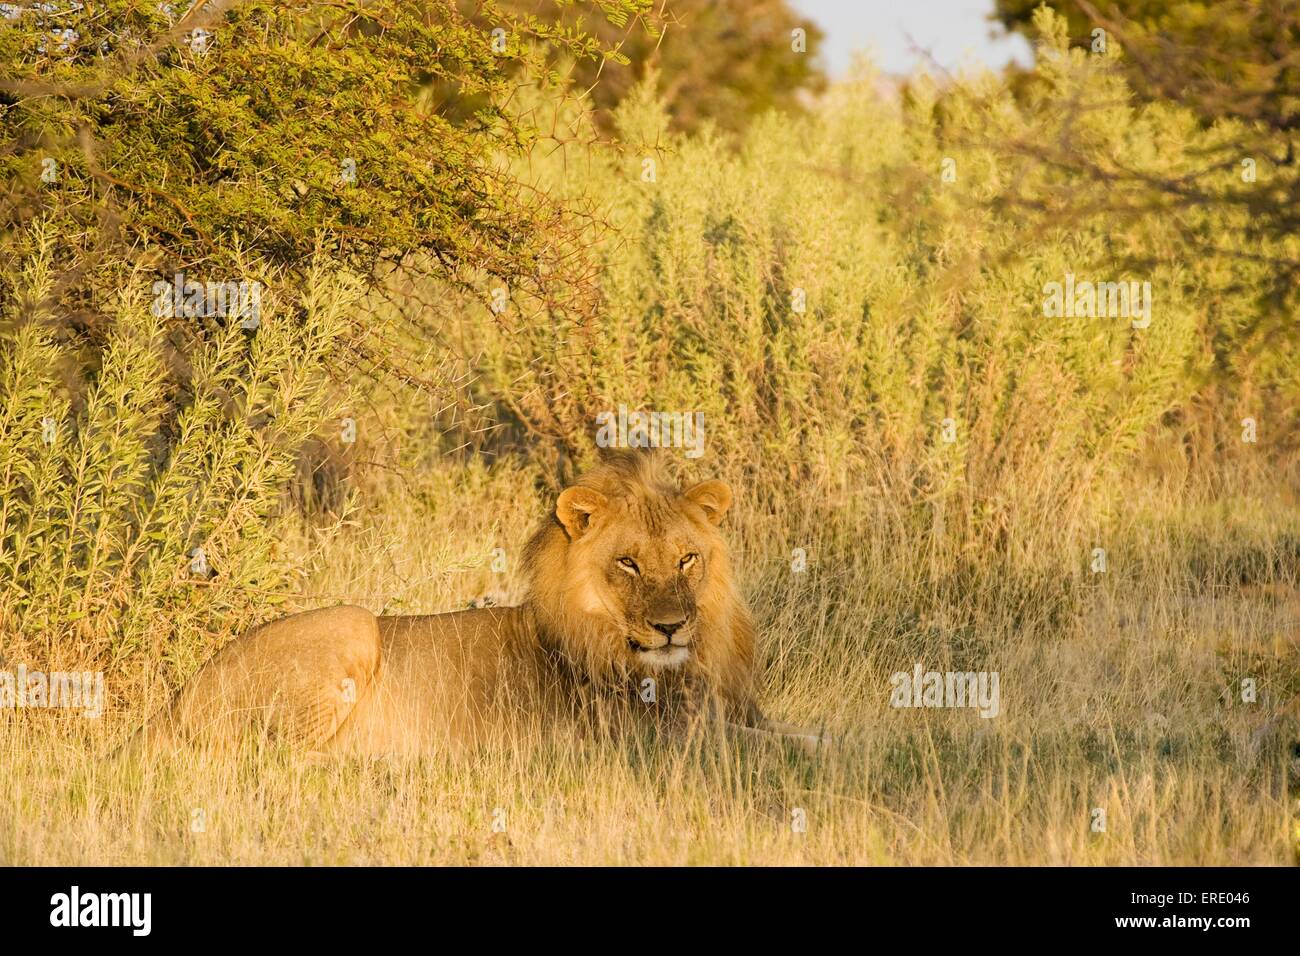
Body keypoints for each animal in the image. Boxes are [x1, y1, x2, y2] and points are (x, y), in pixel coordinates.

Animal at [127, 450, 823, 757]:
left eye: (686, 560)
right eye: (627, 563)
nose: (672, 626)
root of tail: (171, 704)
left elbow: (809, 732)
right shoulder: (654, 739)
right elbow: (793, 748)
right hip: (352, 624)